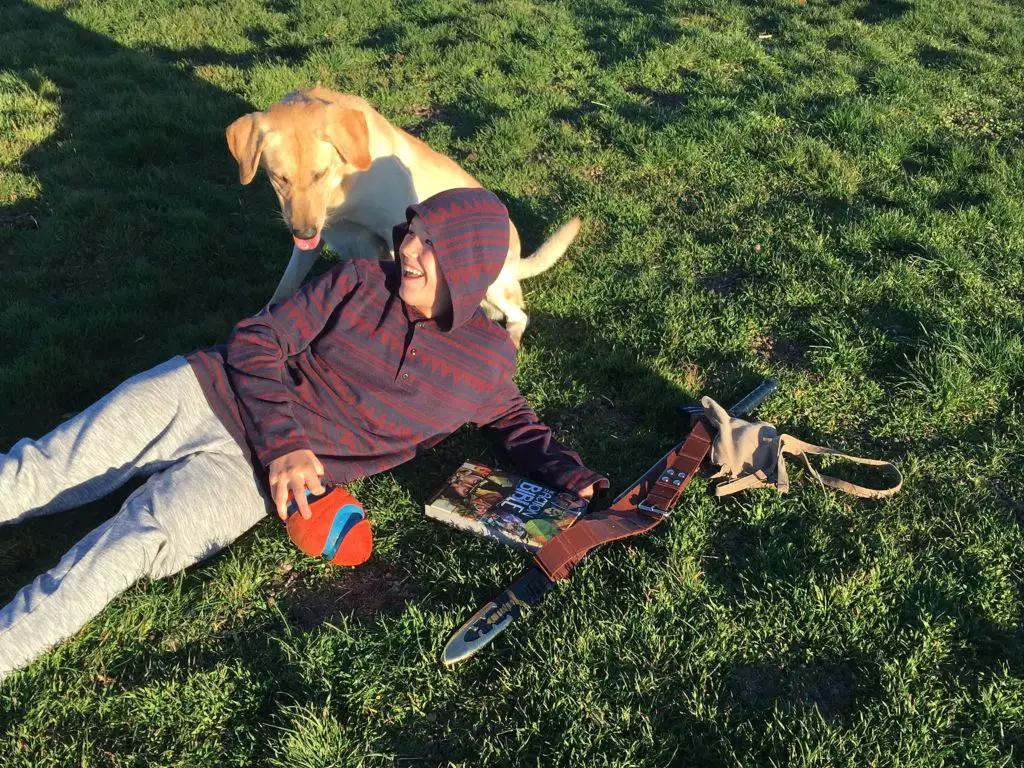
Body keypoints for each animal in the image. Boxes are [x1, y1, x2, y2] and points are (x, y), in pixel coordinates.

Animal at [225, 86, 581, 346]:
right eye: (278, 178)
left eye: (320, 174)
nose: (303, 231)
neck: (344, 188)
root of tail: (517, 262)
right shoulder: (312, 240)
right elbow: (285, 287)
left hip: (486, 282)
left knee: (519, 314)